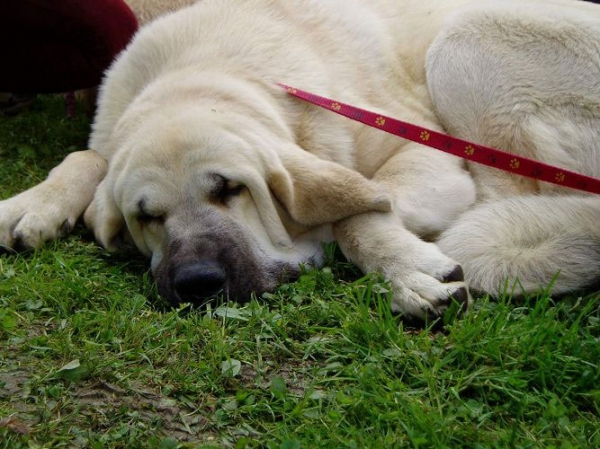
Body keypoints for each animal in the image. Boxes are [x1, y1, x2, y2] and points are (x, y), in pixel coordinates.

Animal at [0, 0, 596, 318]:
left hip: (464, 41)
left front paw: (407, 267)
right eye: (147, 217)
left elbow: (355, 212)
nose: (197, 283)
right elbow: (87, 156)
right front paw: (34, 204)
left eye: (230, 189)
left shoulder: (422, 152)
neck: (204, 70)